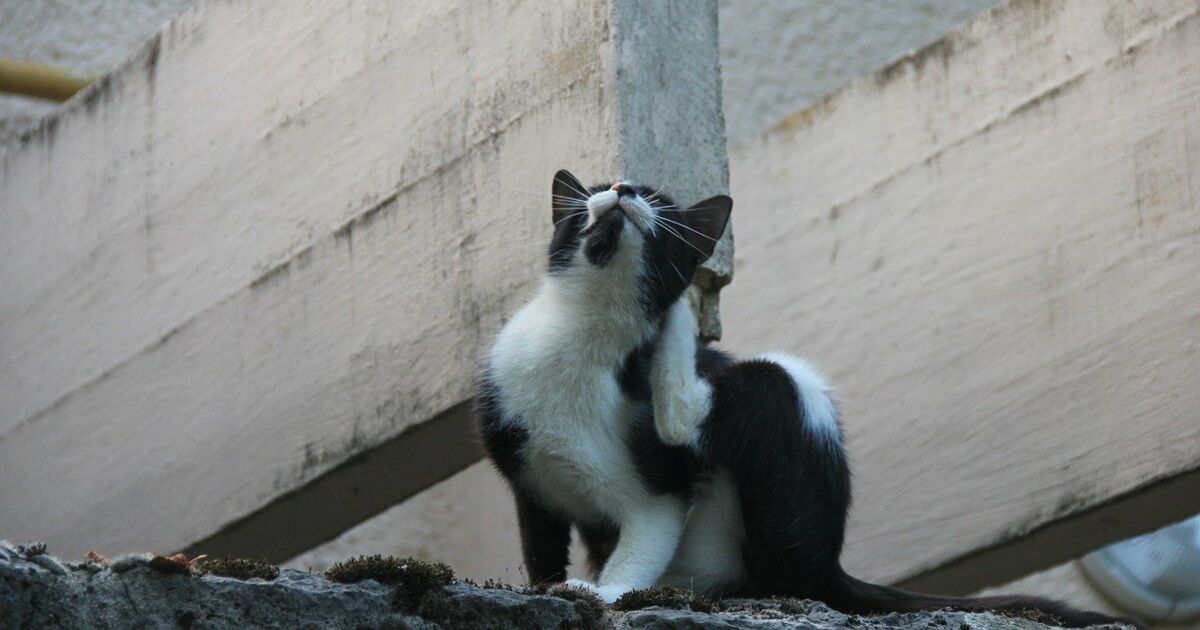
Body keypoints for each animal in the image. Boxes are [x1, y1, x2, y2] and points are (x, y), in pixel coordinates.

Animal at [472, 169, 1137, 624]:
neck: (585, 334)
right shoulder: (527, 475)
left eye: (656, 199)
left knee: (736, 414)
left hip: (785, 407)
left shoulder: (657, 492)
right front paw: (550, 586)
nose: (621, 187)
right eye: (593, 191)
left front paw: (602, 592)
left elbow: (642, 540)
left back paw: (682, 323)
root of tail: (831, 565)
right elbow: (541, 544)